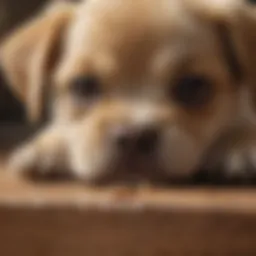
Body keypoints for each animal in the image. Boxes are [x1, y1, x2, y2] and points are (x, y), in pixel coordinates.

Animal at [1, 0, 256, 184]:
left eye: (193, 85)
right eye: (83, 85)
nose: (135, 136)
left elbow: (241, 121)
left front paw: (242, 146)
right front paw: (47, 145)